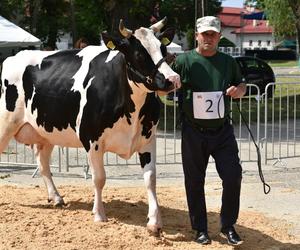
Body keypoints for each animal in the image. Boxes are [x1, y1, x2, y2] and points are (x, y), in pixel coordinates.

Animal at [0, 18, 180, 234]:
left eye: (163, 48)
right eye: (139, 54)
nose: (173, 79)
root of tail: (13, 57)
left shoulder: (148, 139)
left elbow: (150, 178)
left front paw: (154, 221)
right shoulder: (92, 140)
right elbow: (99, 178)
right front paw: (99, 214)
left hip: (47, 131)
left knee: (43, 164)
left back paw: (56, 197)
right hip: (5, 124)